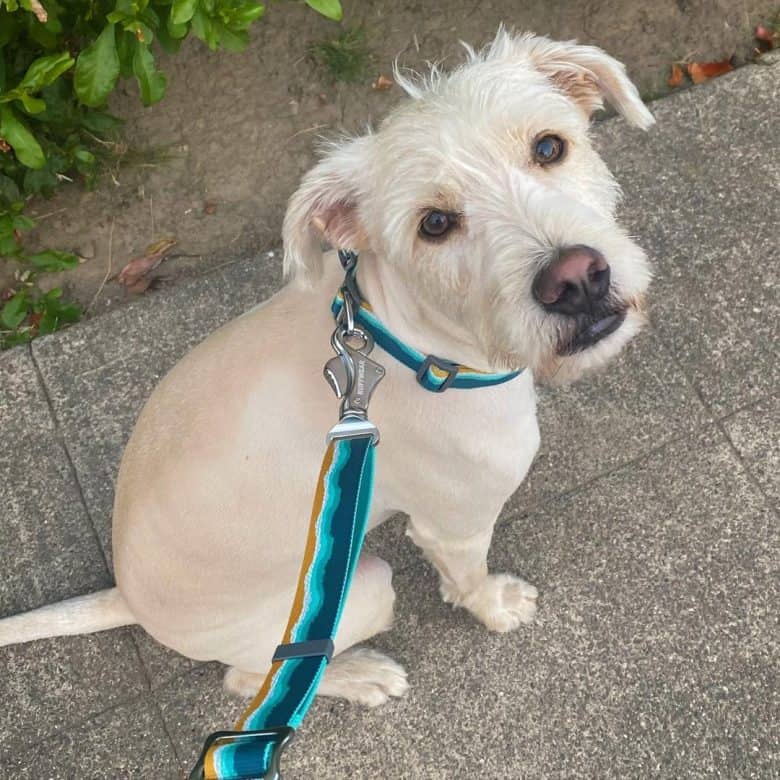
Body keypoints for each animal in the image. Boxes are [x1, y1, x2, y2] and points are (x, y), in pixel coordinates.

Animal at [0, 30, 652, 708]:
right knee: (251, 676)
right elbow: (468, 579)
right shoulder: (456, 523)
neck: (409, 345)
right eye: (435, 224)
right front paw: (496, 608)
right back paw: (362, 675)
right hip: (362, 588)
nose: (575, 280)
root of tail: (126, 598)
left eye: (549, 147)